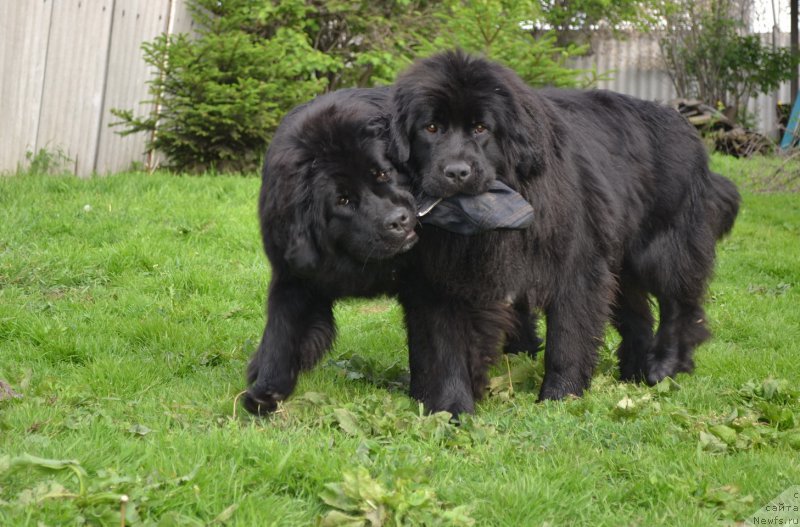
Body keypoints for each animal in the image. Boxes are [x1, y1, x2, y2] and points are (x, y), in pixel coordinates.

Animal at [244, 87, 418, 416]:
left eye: (383, 174)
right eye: (342, 200)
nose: (398, 221)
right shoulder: (293, 275)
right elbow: (281, 329)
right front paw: (266, 388)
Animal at [388, 50, 736, 416]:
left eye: (481, 128)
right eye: (431, 128)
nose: (457, 172)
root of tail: (686, 126)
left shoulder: (578, 265)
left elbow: (567, 337)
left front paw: (559, 398)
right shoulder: (442, 277)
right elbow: (445, 345)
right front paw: (451, 409)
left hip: (664, 246)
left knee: (678, 305)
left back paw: (664, 366)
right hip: (619, 256)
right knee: (636, 312)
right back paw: (634, 370)